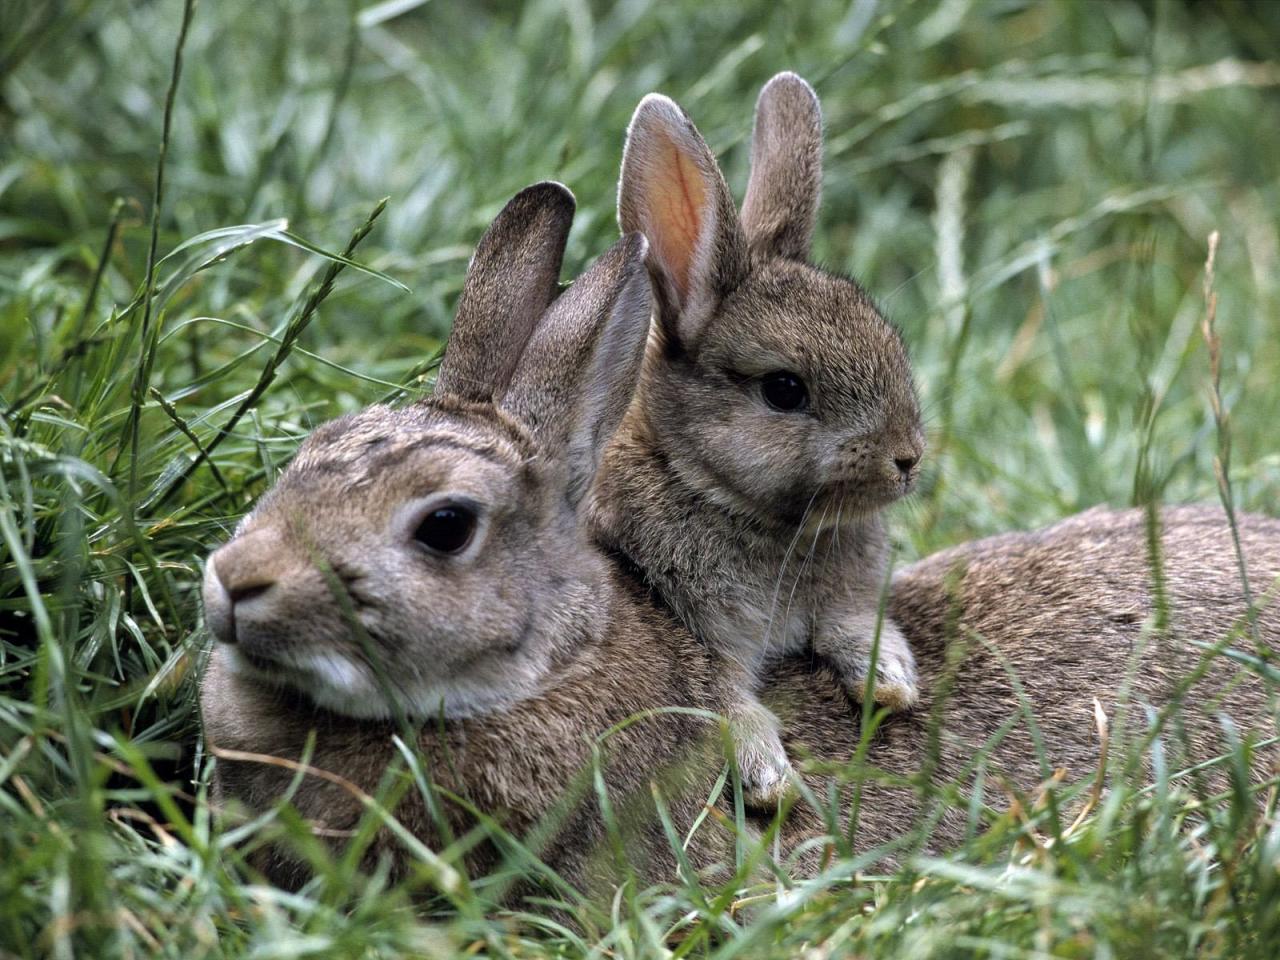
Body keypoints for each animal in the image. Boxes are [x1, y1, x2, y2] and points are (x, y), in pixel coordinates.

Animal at [586, 73, 926, 803]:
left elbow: (854, 625)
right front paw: (769, 778)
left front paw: (890, 682)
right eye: (784, 390)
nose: (907, 459)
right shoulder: (693, 631)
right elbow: (723, 699)